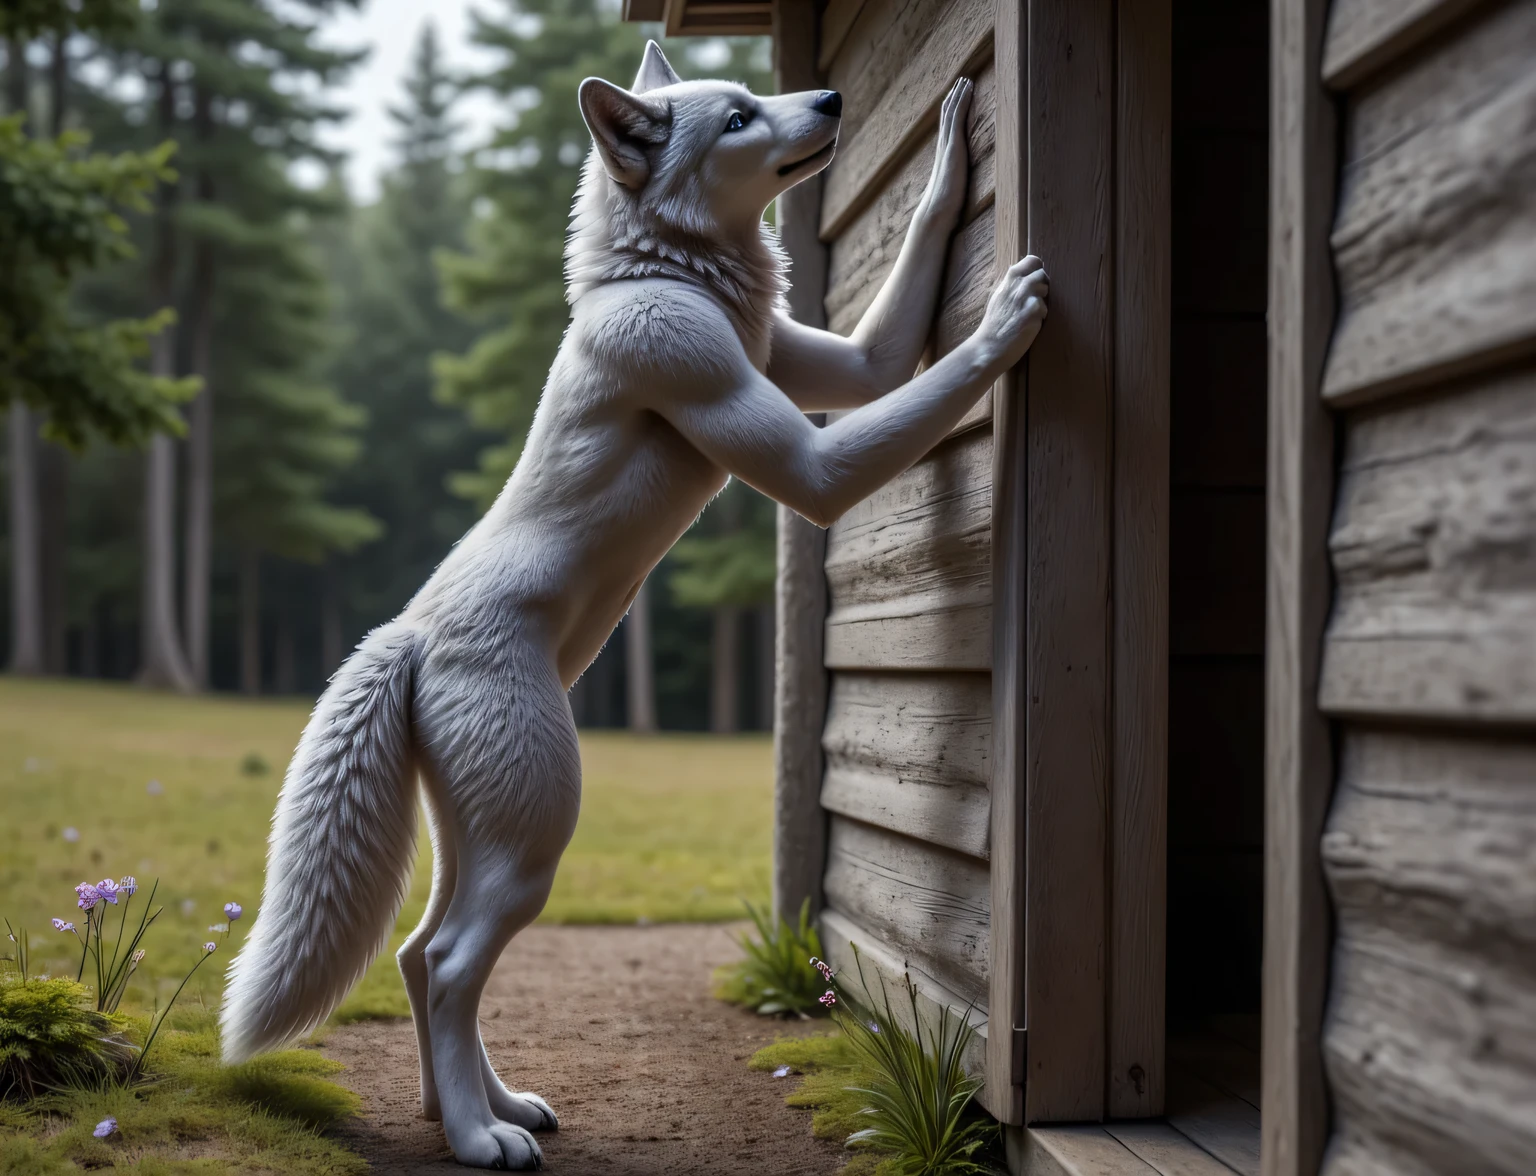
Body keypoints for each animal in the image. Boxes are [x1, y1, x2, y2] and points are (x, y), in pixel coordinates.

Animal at [220, 42, 1048, 1169]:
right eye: (737, 117)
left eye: (760, 95)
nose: (833, 97)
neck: (662, 273)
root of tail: (407, 637)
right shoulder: (792, 446)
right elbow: (914, 395)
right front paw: (1007, 322)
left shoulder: (828, 361)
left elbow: (889, 347)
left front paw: (952, 145)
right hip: (536, 831)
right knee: (450, 963)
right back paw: (480, 1138)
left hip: (480, 833)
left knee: (420, 953)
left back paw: (480, 1108)